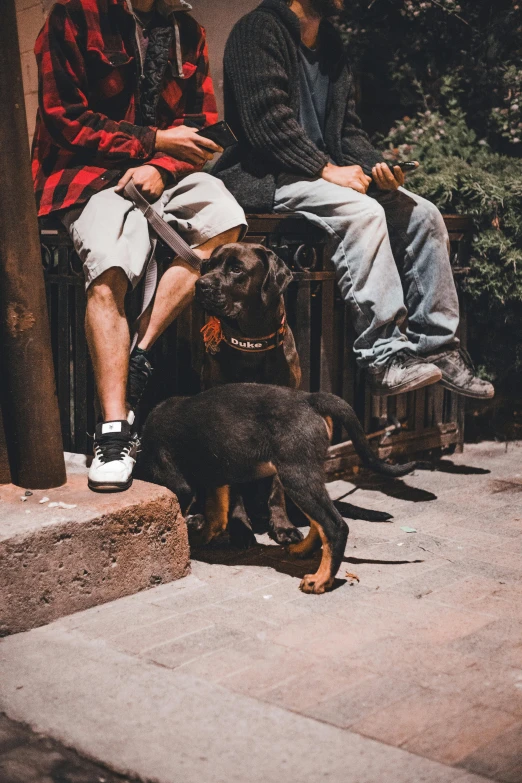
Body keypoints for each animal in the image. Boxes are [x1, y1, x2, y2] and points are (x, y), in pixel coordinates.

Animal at [137, 382, 414, 596]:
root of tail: (310, 398)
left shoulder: (179, 485)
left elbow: (186, 516)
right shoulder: (217, 479)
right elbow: (216, 516)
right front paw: (201, 537)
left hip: (296, 474)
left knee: (335, 526)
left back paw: (320, 581)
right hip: (303, 475)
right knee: (319, 523)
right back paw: (303, 551)